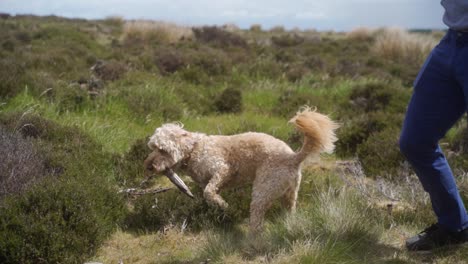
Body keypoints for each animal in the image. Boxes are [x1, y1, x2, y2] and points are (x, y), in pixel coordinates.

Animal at [143, 106, 336, 232]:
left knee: (257, 220)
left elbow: (209, 191)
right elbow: (207, 194)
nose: (148, 166)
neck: (194, 149)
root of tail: (293, 157)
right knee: (289, 212)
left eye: (162, 149)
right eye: (152, 147)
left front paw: (222, 204)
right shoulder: (208, 180)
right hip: (289, 194)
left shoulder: (222, 168)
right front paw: (215, 208)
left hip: (262, 191)